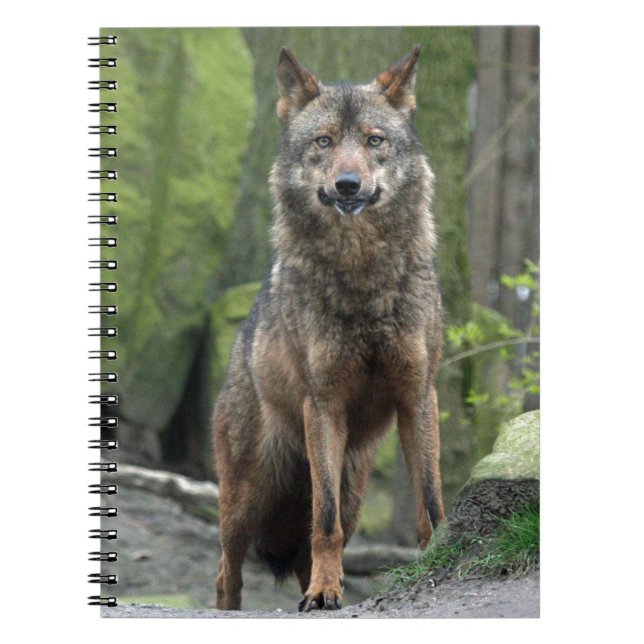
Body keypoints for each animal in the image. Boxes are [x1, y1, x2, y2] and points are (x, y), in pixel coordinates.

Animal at [213, 45, 444, 612]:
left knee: (304, 548)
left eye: (374, 140)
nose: (347, 185)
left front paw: (440, 555)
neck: (362, 280)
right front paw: (324, 590)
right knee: (227, 571)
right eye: (324, 141)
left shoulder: (418, 395)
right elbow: (325, 522)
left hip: (354, 488)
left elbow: (429, 502)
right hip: (248, 495)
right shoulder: (323, 405)